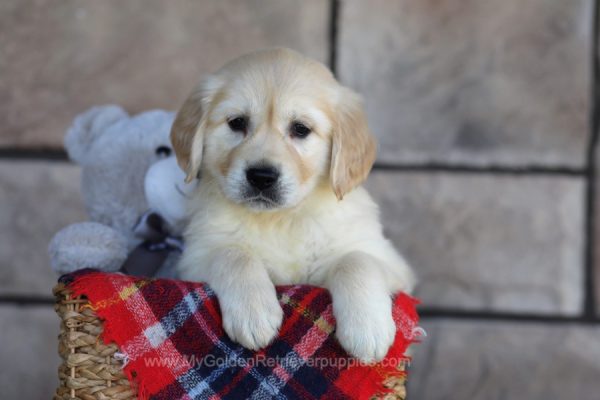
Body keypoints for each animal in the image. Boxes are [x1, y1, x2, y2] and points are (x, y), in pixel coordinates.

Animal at [171, 47, 414, 362]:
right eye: (237, 123)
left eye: (300, 129)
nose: (261, 177)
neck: (282, 219)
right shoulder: (195, 257)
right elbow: (234, 253)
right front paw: (254, 312)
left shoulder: (389, 261)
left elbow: (356, 260)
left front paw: (367, 329)